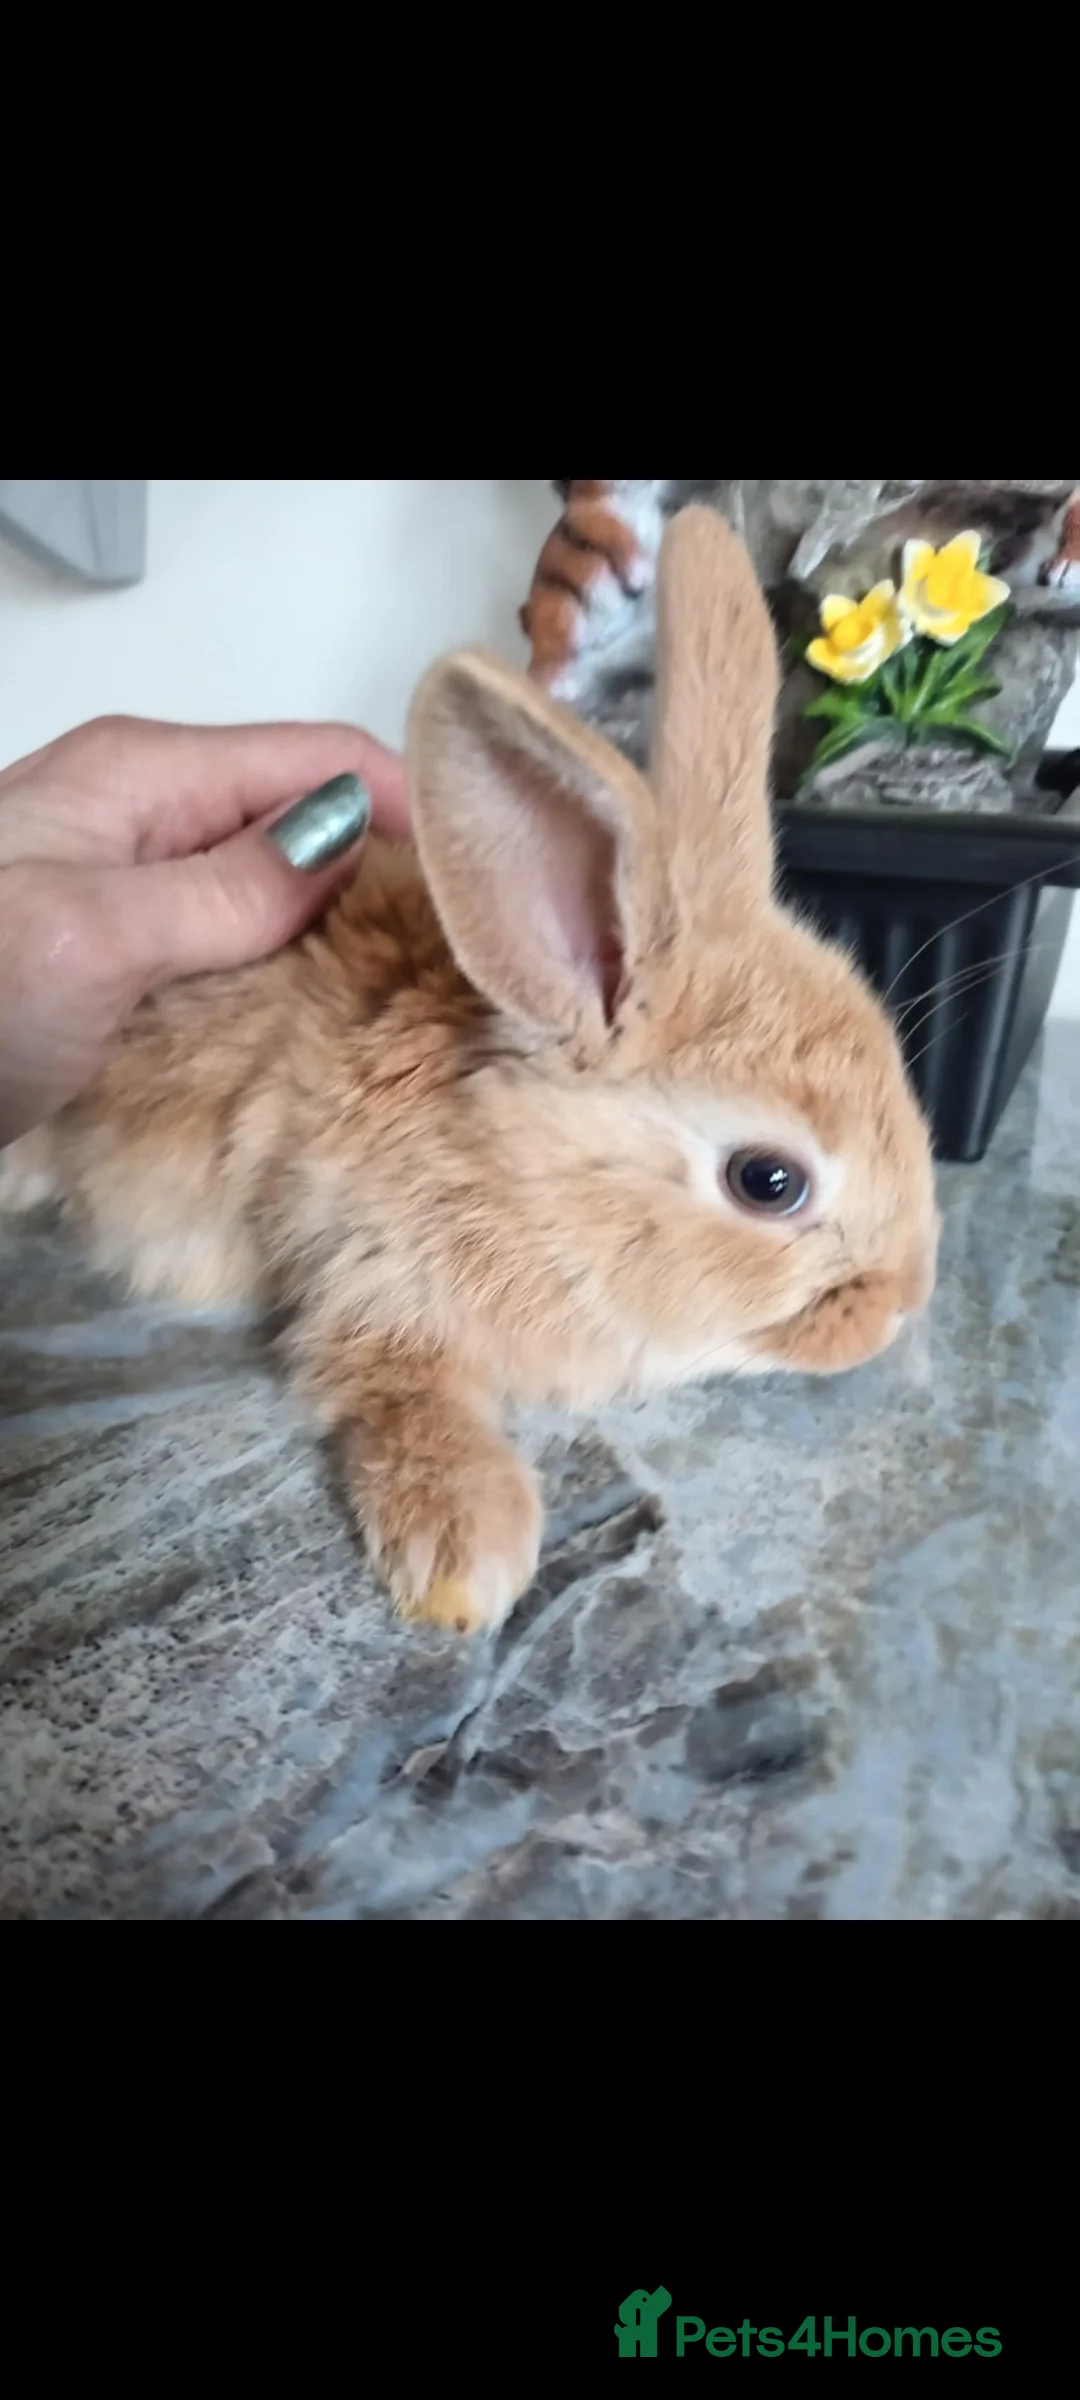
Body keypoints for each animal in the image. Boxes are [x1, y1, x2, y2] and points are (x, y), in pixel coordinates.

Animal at [0, 507, 939, 1636]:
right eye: (770, 1181)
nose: (900, 1309)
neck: (522, 1177)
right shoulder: (365, 1264)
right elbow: (398, 1388)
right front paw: (466, 1555)